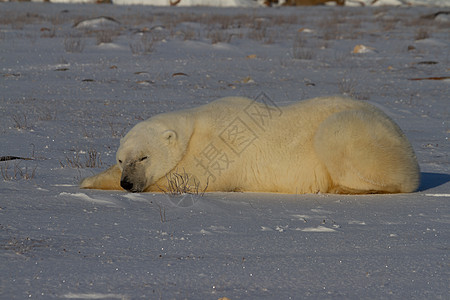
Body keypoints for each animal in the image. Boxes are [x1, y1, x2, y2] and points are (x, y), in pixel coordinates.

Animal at [79, 96, 420, 195]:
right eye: (122, 159)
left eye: (144, 157)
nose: (127, 183)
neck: (194, 129)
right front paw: (88, 179)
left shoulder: (220, 150)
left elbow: (187, 179)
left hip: (354, 131)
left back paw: (342, 188)